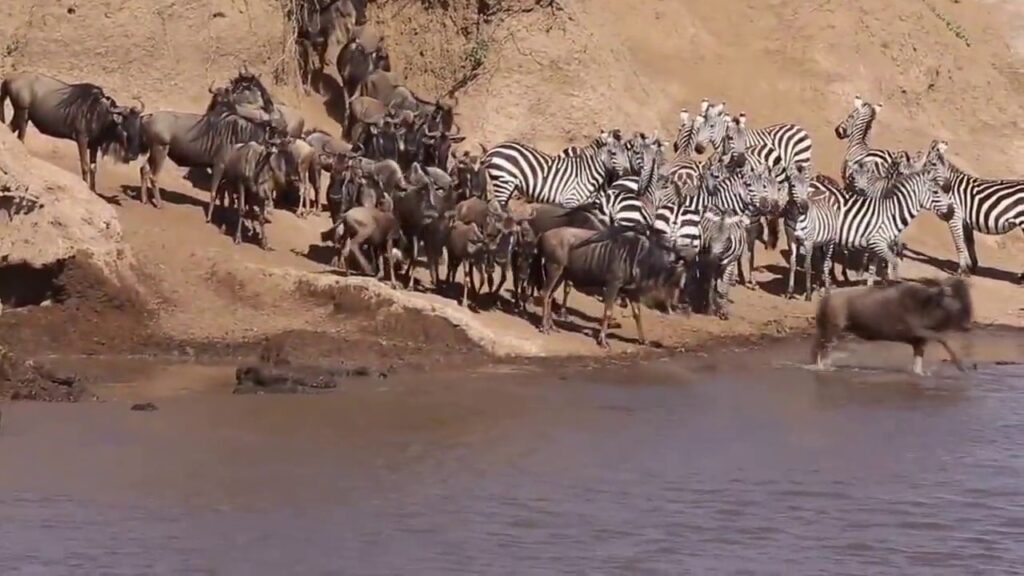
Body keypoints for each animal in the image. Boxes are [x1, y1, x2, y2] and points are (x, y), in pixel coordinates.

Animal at [481, 130, 630, 208]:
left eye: (625, 151)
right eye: (613, 153)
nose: (628, 172)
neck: (588, 173)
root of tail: (492, 150)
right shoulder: (570, 201)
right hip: (503, 183)